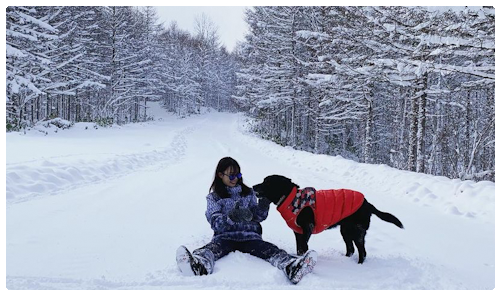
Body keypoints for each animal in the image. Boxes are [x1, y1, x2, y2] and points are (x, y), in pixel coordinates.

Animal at [254, 175, 402, 264]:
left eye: (267, 182)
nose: (254, 186)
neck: (291, 198)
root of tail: (368, 204)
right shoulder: (297, 232)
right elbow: (299, 248)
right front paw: (299, 257)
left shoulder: (307, 228)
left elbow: (304, 246)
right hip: (346, 230)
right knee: (351, 249)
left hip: (357, 231)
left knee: (362, 251)